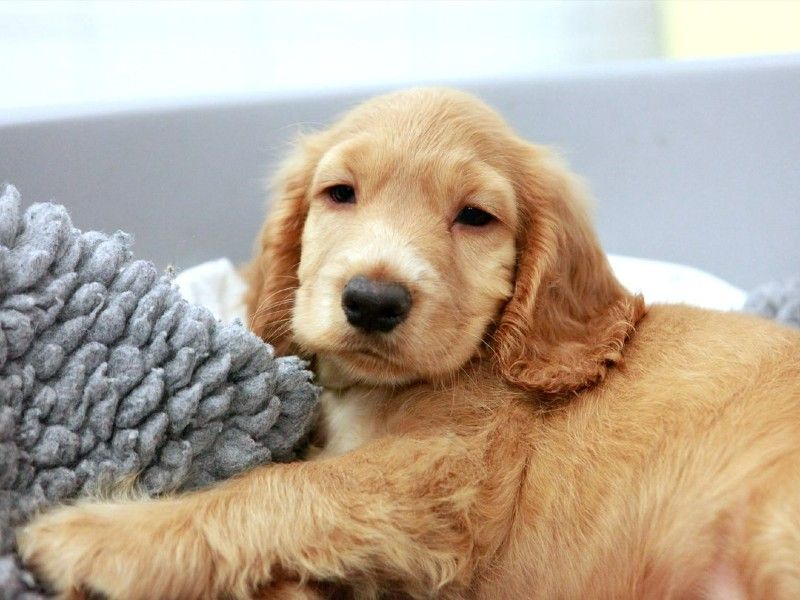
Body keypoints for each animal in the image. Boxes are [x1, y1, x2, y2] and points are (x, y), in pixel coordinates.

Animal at [17, 90, 800, 600]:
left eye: (475, 217)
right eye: (340, 193)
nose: (372, 299)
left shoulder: (440, 476)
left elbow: (277, 487)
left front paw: (96, 538)